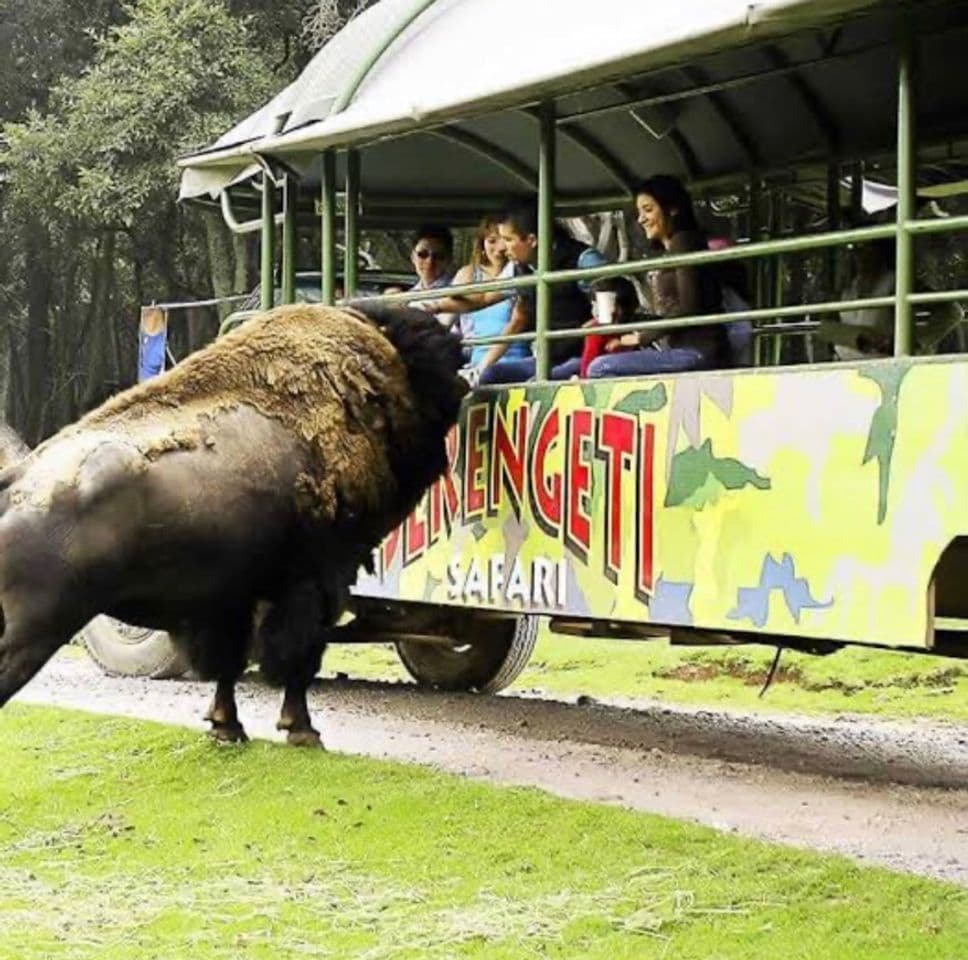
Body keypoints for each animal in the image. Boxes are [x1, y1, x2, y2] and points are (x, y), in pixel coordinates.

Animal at [0, 304, 466, 748]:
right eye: (439, 365)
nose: (462, 390)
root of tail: (16, 479)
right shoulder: (318, 580)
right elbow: (297, 661)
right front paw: (303, 731)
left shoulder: (230, 598)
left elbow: (230, 664)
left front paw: (226, 727)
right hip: (32, 632)